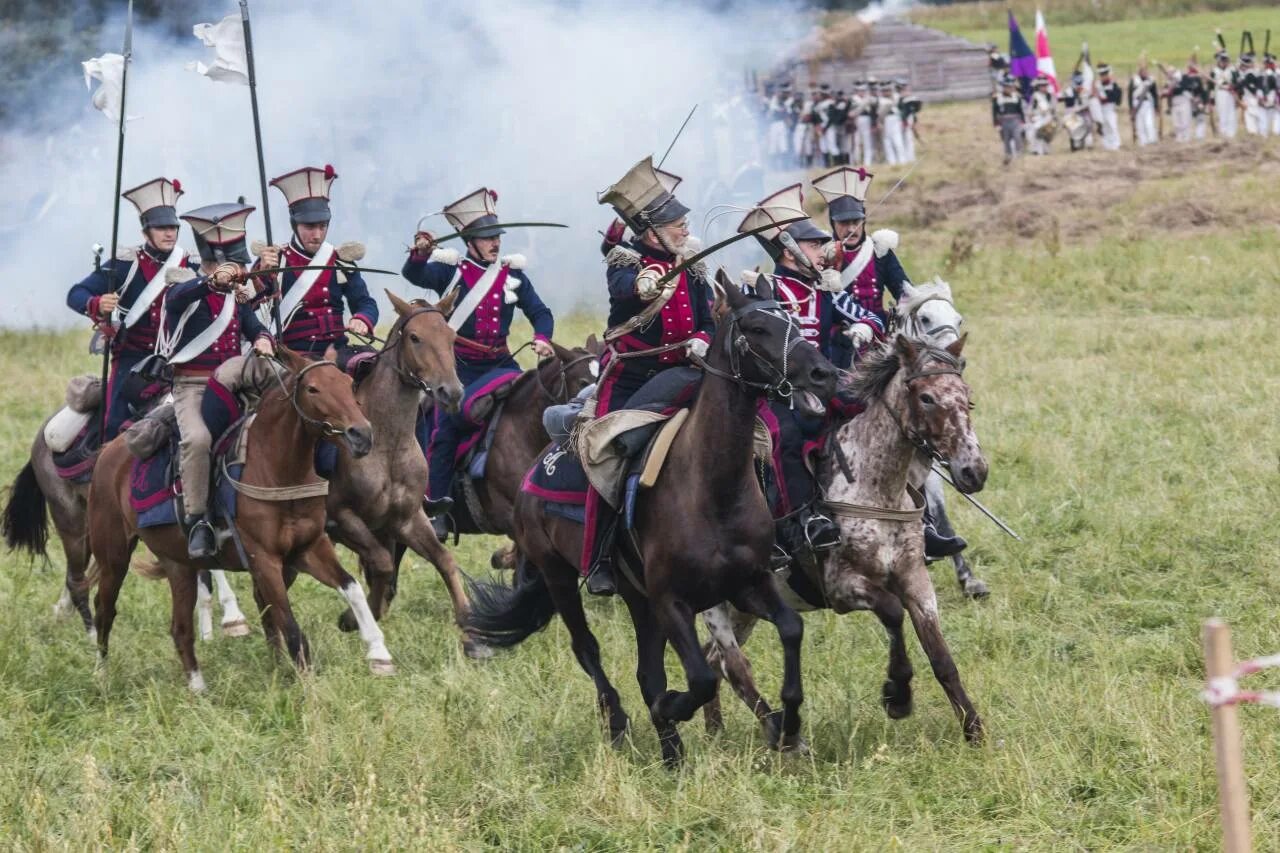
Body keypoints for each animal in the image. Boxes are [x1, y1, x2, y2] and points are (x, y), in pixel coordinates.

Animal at [88, 343, 376, 686]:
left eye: (348, 383)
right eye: (313, 388)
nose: (361, 435)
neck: (275, 468)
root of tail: (108, 451)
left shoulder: (308, 549)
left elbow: (352, 588)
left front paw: (380, 653)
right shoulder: (263, 560)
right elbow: (291, 627)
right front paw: (308, 687)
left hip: (178, 565)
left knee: (180, 629)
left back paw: (198, 688)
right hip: (113, 557)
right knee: (104, 609)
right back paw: (101, 676)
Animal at [468, 270, 839, 763]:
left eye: (793, 321)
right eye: (757, 328)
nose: (824, 373)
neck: (712, 489)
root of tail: (536, 468)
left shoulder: (748, 583)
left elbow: (791, 630)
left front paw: (790, 724)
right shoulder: (672, 601)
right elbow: (700, 679)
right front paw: (673, 708)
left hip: (637, 597)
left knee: (647, 671)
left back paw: (671, 753)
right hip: (559, 576)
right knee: (588, 649)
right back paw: (621, 722)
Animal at [701, 333, 988, 742]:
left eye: (967, 396)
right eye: (926, 397)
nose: (973, 471)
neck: (874, 487)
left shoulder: (915, 579)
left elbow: (941, 657)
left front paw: (973, 729)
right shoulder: (843, 586)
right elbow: (892, 610)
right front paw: (898, 695)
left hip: (744, 608)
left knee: (713, 659)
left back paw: (716, 732)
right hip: (714, 602)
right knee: (732, 665)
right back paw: (777, 733)